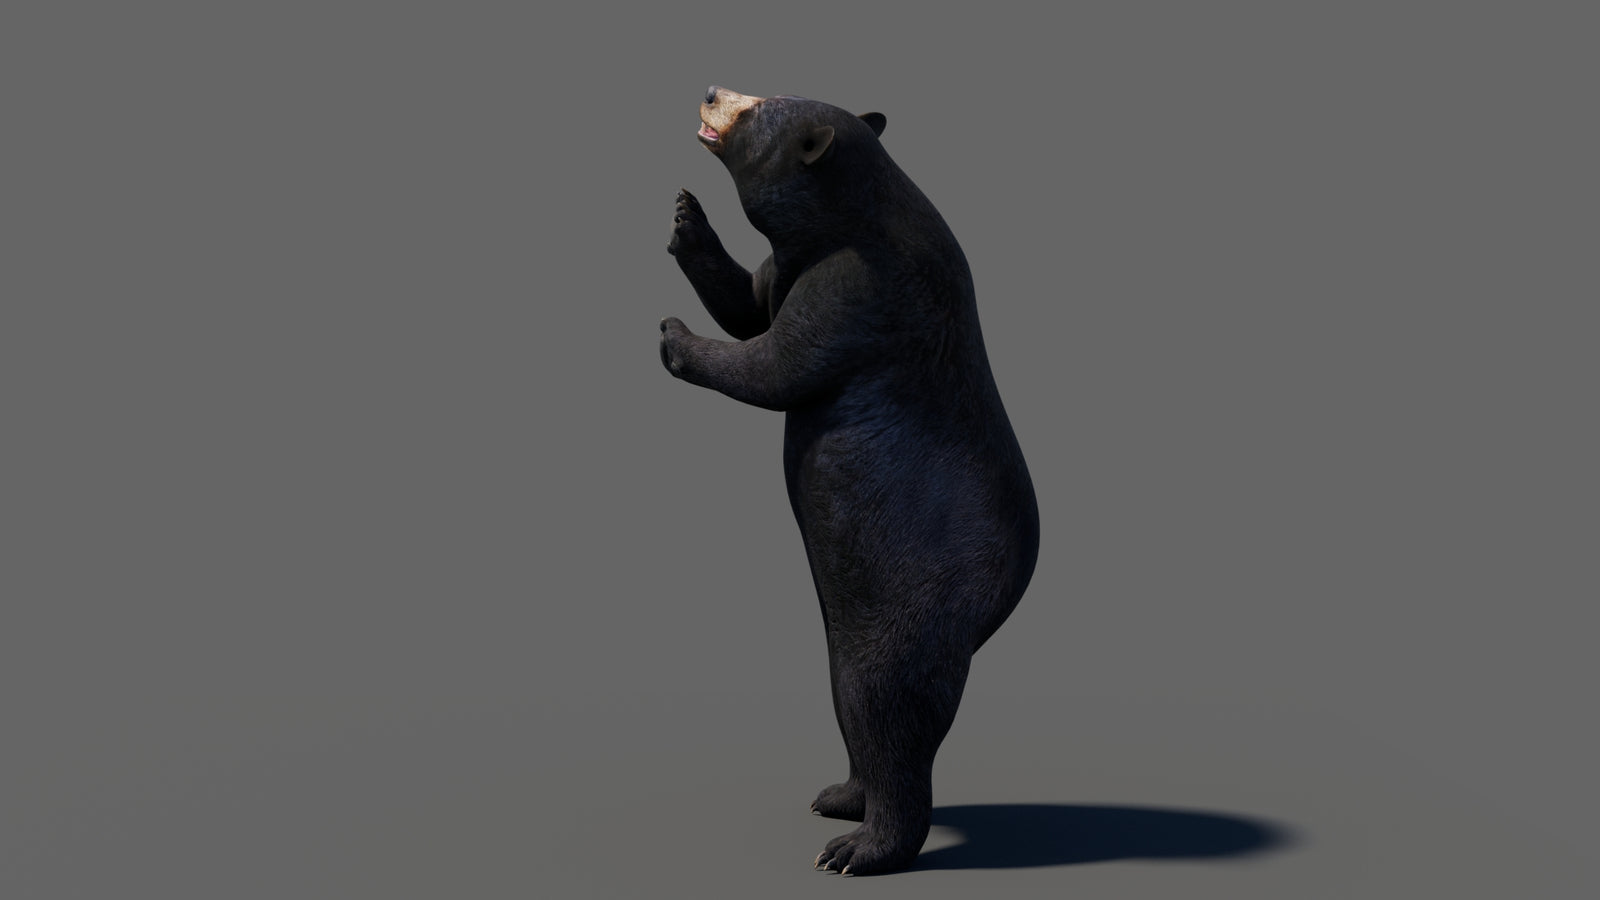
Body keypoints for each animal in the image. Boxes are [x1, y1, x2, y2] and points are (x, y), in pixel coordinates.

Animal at [660, 85, 1039, 875]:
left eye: (756, 106)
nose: (710, 92)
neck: (851, 213)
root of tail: (995, 607)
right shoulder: (795, 263)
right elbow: (751, 302)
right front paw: (685, 218)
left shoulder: (856, 284)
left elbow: (776, 363)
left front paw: (674, 337)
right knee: (852, 701)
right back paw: (839, 796)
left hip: (911, 605)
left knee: (886, 706)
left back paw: (858, 848)